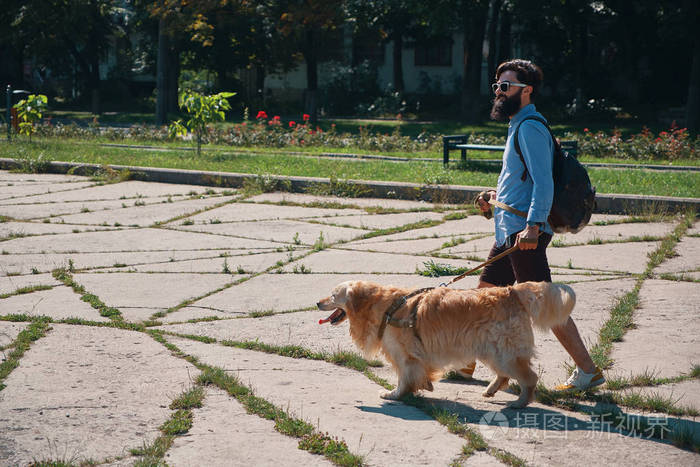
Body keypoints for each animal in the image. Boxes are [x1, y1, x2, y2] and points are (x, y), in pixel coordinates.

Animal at [320, 280, 576, 408]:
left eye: (333, 295)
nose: (317, 302)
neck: (386, 307)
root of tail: (511, 291)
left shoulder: (405, 355)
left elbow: (404, 378)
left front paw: (395, 394)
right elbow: (419, 375)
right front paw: (425, 385)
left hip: (505, 352)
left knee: (529, 377)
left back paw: (520, 402)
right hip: (493, 350)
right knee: (504, 375)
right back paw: (491, 390)